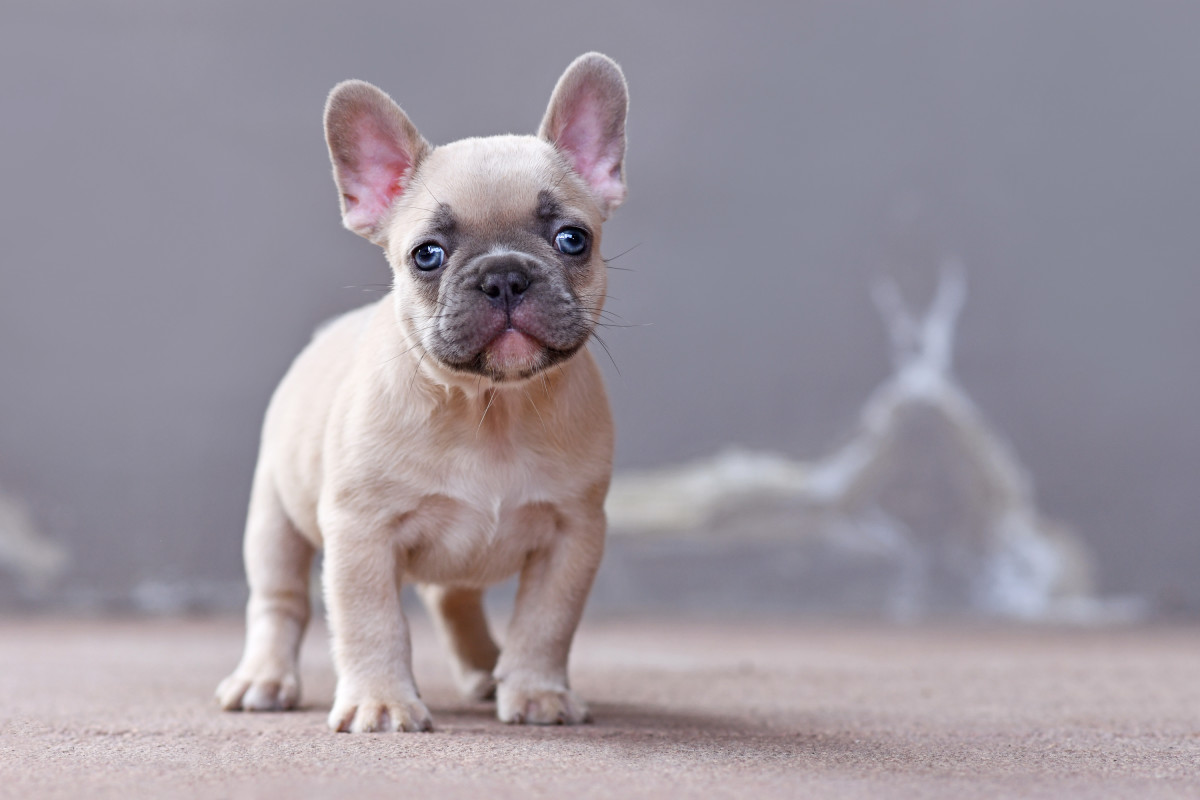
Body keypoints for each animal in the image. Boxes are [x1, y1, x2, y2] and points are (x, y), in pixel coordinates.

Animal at [216, 53, 628, 734]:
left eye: (573, 239)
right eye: (427, 255)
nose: (503, 275)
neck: (489, 407)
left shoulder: (575, 534)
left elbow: (546, 621)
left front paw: (535, 690)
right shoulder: (361, 532)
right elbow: (372, 623)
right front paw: (381, 701)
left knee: (454, 600)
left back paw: (488, 670)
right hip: (274, 516)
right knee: (278, 602)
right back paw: (264, 679)